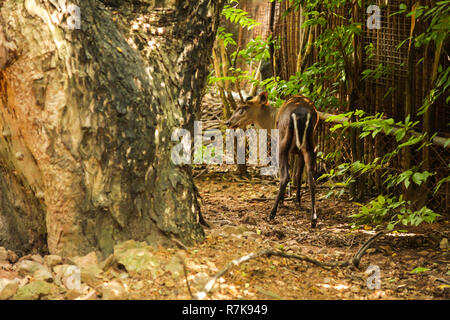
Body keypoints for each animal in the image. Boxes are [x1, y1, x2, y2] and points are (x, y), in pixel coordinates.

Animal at [225, 92, 320, 228]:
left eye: (243, 108)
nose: (228, 122)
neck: (270, 122)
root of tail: (300, 116)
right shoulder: (298, 152)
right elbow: (297, 175)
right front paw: (297, 202)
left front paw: (284, 201)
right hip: (310, 146)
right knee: (311, 178)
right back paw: (313, 219)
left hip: (282, 144)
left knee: (285, 176)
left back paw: (272, 213)